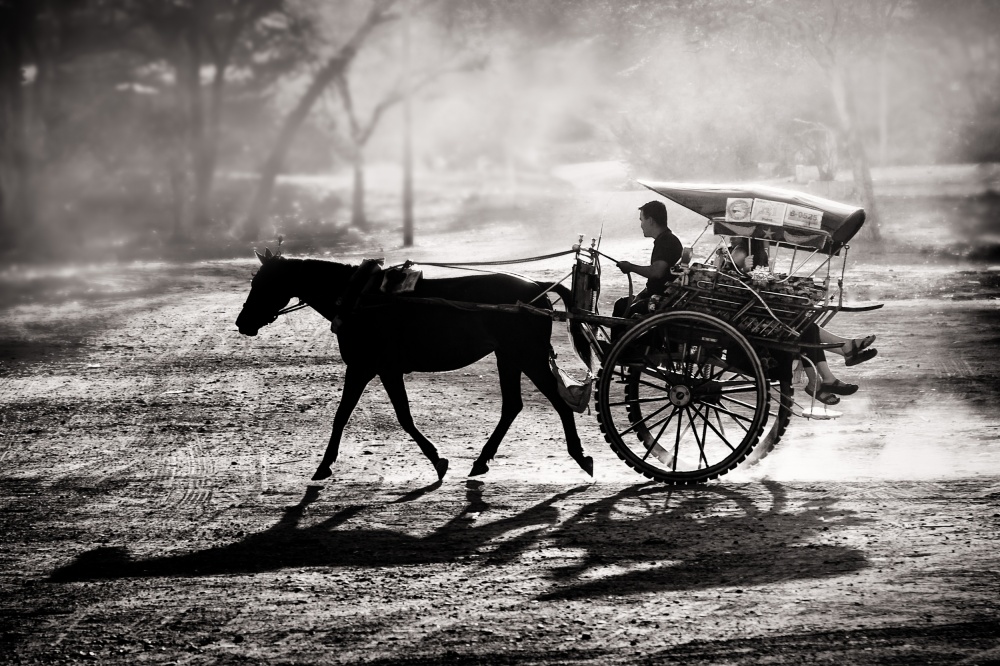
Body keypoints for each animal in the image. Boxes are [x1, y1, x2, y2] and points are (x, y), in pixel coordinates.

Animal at [234, 252, 592, 480]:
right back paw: (480, 461)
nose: (242, 322)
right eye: (254, 280)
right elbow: (345, 416)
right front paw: (324, 465)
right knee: (512, 406)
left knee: (558, 402)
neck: (358, 298)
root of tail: (538, 290)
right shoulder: (366, 368)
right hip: (508, 356)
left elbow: (399, 417)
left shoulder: (377, 368)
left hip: (527, 355)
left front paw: (437, 460)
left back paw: (580, 455)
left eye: (265, 284)